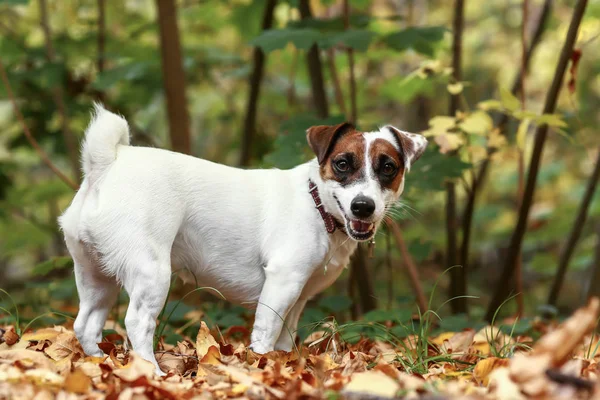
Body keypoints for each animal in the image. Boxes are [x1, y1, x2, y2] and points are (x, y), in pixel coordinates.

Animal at [59, 105, 426, 376]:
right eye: (342, 164)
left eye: (388, 167)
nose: (363, 206)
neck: (316, 203)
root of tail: (105, 166)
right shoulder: (280, 284)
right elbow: (265, 334)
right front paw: (263, 368)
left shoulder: (298, 298)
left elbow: (285, 339)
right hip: (151, 273)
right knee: (137, 323)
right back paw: (152, 372)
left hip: (96, 278)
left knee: (85, 324)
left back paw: (97, 363)